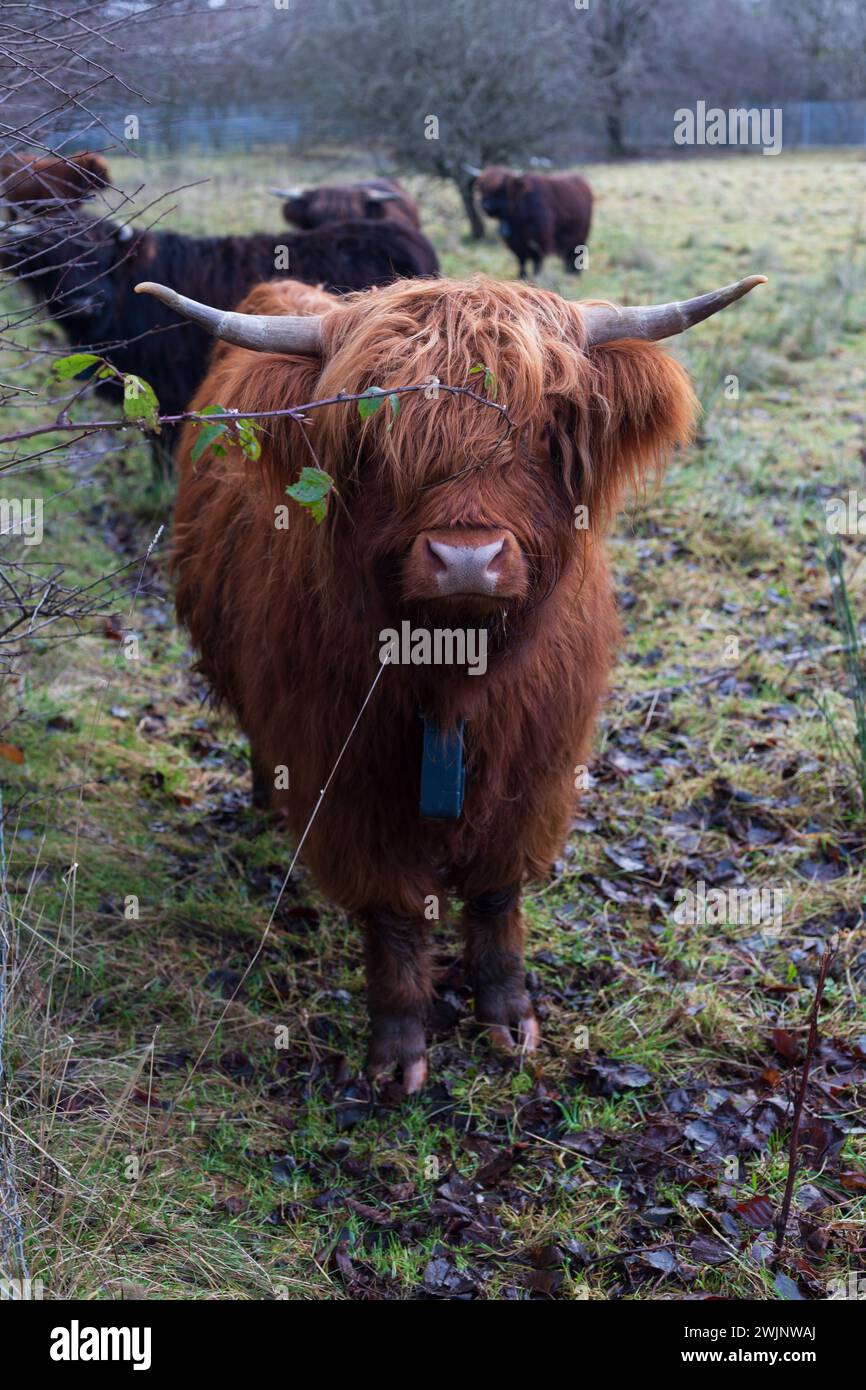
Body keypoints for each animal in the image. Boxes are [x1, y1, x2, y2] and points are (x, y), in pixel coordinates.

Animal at [135, 265, 767, 1084]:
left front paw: (507, 1013)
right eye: (375, 435)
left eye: (546, 426)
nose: (467, 559)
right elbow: (393, 913)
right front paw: (399, 1045)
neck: (452, 677)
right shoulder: (347, 777)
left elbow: (498, 893)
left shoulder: (537, 767)